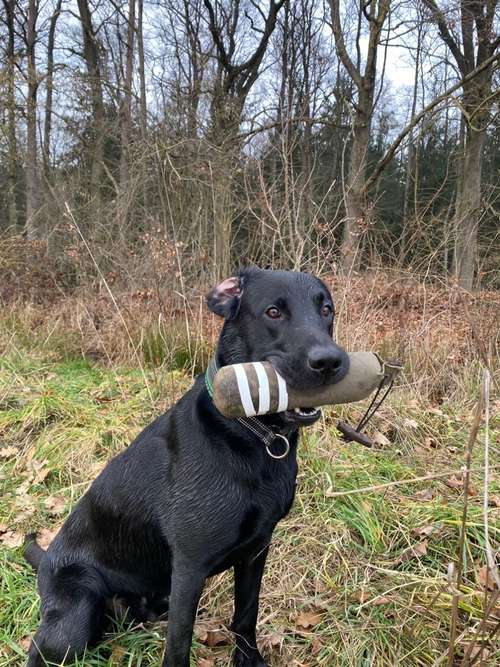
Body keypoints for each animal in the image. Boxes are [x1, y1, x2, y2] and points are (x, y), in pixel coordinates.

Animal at [25, 268, 350, 667]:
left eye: (326, 309)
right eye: (273, 312)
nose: (329, 361)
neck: (250, 435)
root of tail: (45, 560)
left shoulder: (257, 549)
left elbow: (246, 615)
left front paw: (248, 660)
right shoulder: (189, 566)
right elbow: (179, 642)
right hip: (74, 619)